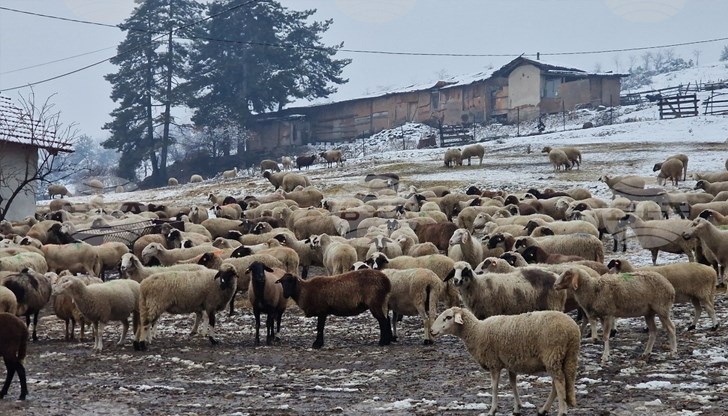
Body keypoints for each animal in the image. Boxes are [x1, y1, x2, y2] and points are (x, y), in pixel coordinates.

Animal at [430, 306, 576, 416]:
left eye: (448, 317)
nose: (431, 331)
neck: (477, 332)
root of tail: (573, 330)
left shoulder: (494, 363)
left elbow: (494, 387)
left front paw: (492, 410)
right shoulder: (511, 362)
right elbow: (513, 384)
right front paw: (517, 407)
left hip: (553, 355)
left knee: (559, 383)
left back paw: (562, 411)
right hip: (565, 357)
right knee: (557, 384)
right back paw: (543, 410)